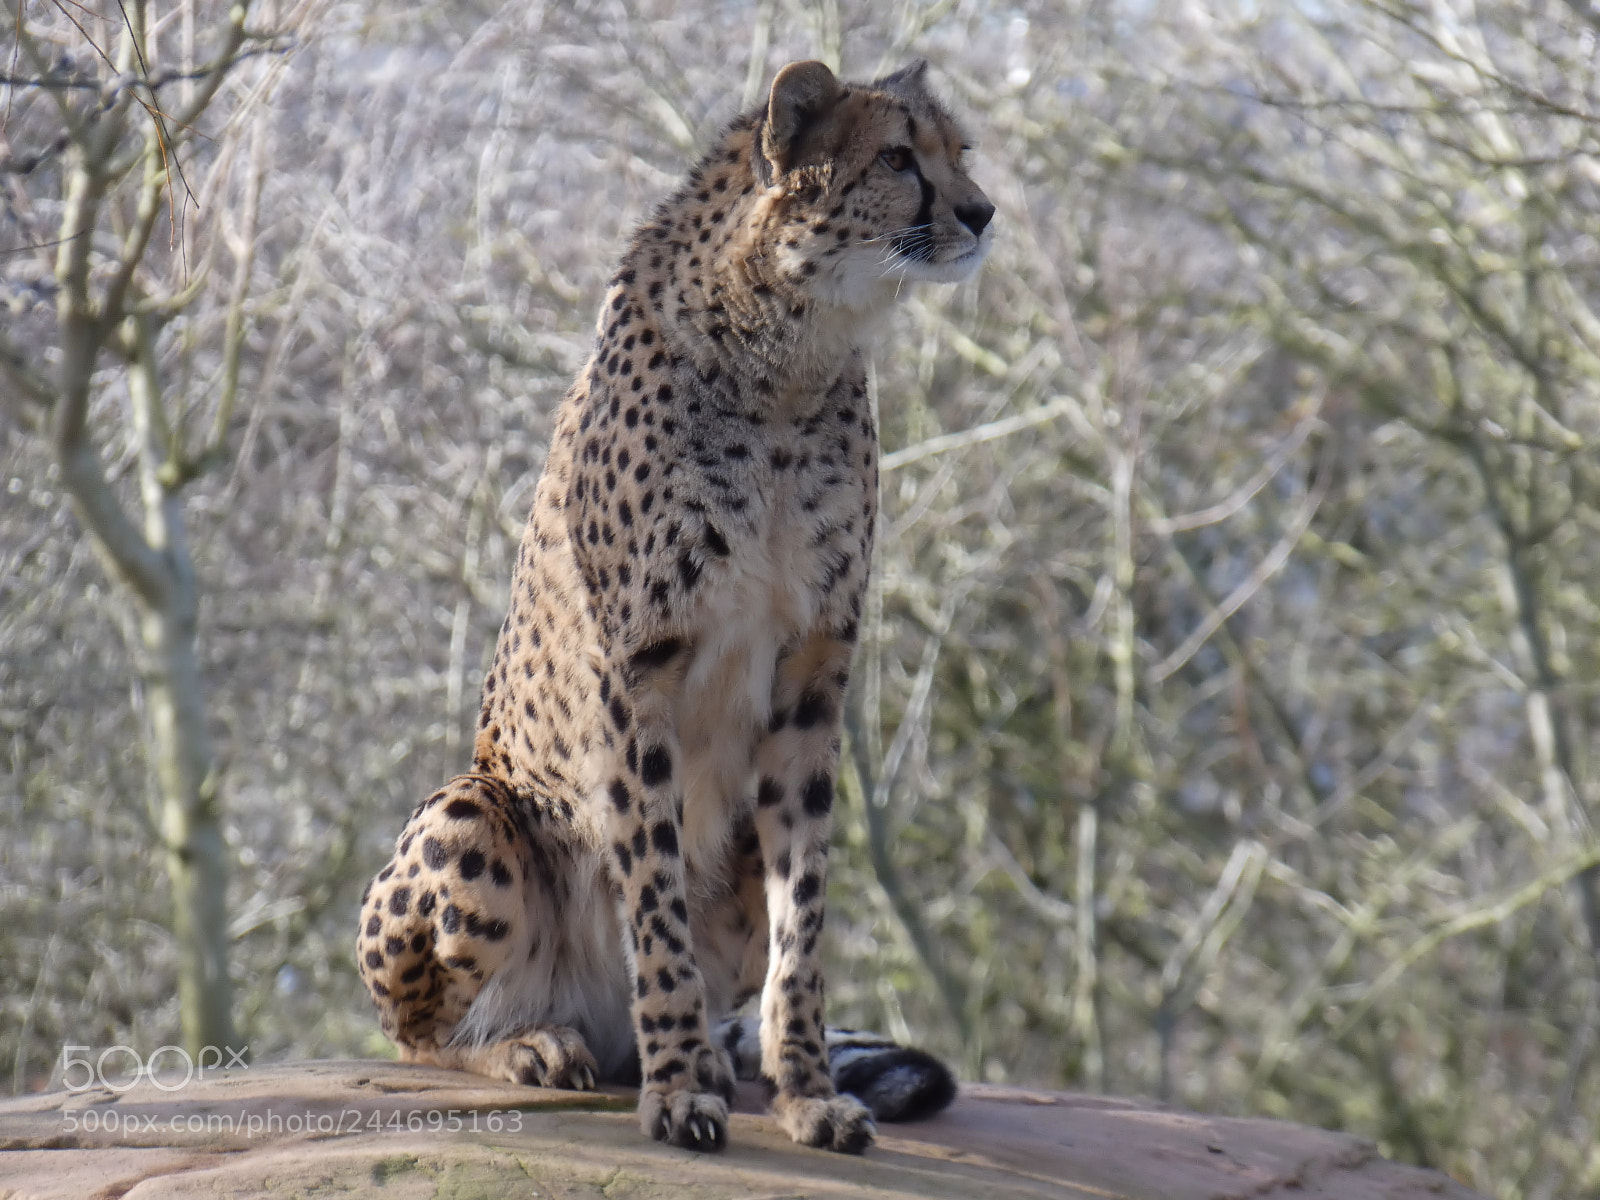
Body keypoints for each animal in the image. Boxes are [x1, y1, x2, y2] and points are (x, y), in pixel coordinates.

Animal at [356, 57, 994, 1155]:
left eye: (959, 152)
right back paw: (534, 1046)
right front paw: (681, 1087)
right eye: (897, 159)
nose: (983, 212)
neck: (791, 358)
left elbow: (802, 912)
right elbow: (650, 888)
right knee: (417, 1036)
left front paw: (805, 1088)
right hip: (472, 810)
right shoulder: (637, 668)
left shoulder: (814, 668)